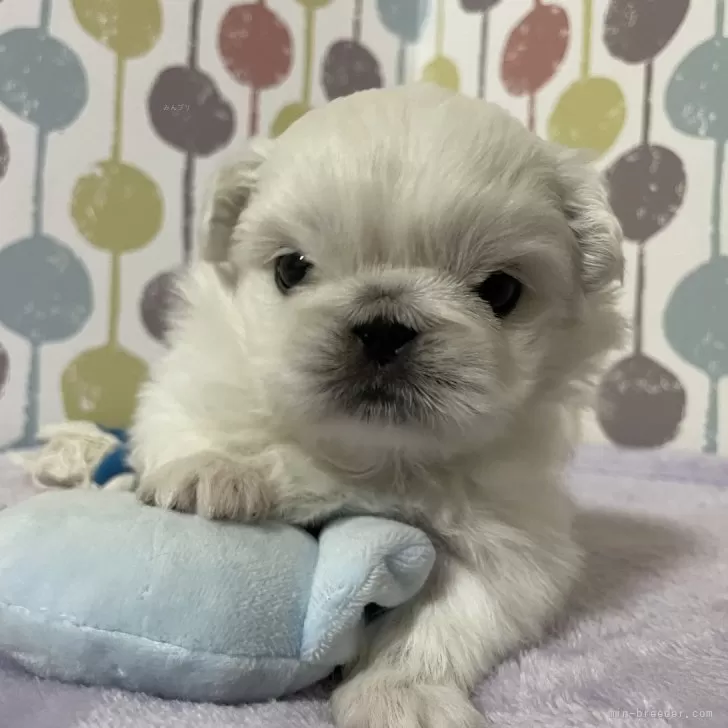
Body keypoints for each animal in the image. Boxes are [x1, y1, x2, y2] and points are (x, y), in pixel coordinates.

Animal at [131, 84, 625, 728]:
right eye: (291, 269)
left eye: (500, 291)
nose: (384, 326)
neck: (371, 457)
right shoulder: (196, 384)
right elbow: (189, 423)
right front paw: (214, 472)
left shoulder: (505, 549)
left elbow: (439, 624)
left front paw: (401, 695)